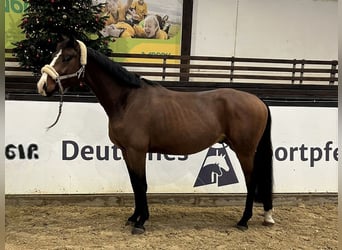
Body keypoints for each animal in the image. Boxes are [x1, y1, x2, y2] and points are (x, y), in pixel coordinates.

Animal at [36, 37, 276, 234]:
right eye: (54, 54)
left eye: (67, 57)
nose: (42, 85)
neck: (127, 100)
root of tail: (259, 101)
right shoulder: (126, 152)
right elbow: (135, 184)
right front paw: (134, 217)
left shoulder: (137, 151)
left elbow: (141, 184)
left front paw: (141, 222)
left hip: (244, 151)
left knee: (252, 182)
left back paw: (243, 221)